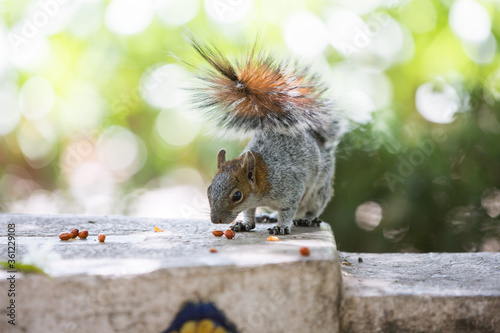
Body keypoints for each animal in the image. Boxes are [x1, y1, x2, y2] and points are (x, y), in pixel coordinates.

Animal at [188, 37, 344, 233]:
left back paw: (307, 220)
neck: (260, 186)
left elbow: (287, 210)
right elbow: (249, 211)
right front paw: (245, 224)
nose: (216, 220)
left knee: (312, 208)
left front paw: (281, 227)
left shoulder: (291, 188)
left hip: (319, 190)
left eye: (237, 195)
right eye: (209, 189)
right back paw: (269, 216)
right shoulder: (253, 203)